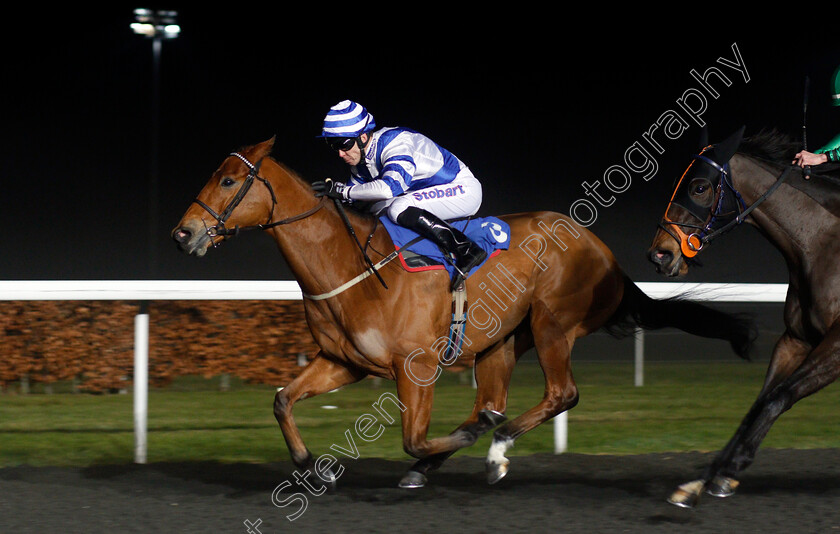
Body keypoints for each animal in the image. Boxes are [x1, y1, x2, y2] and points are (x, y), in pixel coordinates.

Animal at [174, 137, 752, 490]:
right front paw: (310, 465)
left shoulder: (417, 366)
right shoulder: (345, 362)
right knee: (492, 401)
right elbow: (282, 399)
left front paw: (459, 446)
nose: (184, 233)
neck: (348, 264)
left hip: (552, 325)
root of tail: (603, 251)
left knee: (560, 394)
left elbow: (411, 436)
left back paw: (494, 449)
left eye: (229, 181)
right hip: (501, 342)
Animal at [652, 126, 840, 510]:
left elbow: (780, 396)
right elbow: (760, 402)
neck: (821, 244)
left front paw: (730, 467)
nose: (660, 254)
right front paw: (703, 480)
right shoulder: (796, 339)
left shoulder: (837, 343)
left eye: (699, 187)